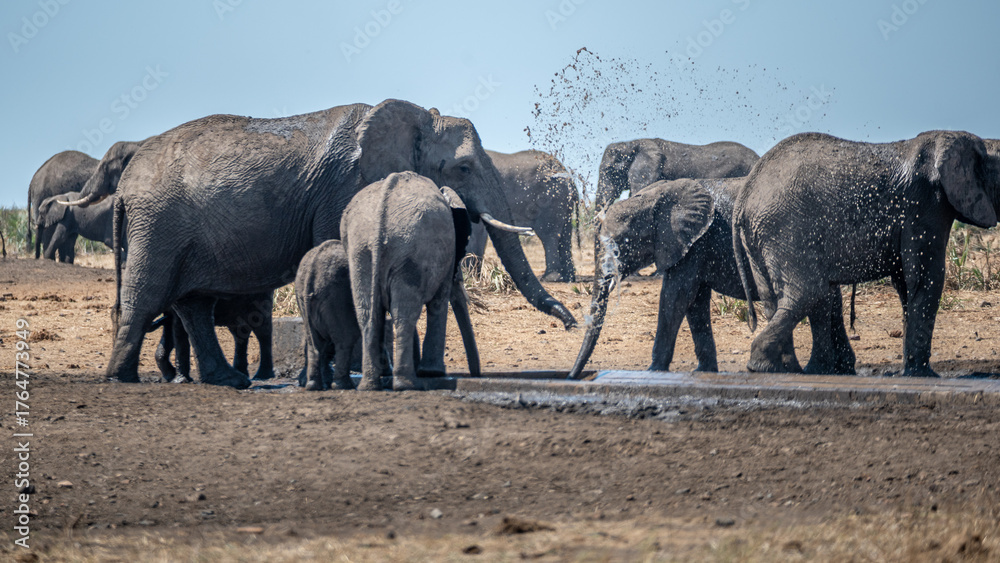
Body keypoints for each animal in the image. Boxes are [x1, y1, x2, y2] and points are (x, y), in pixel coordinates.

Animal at [341, 172, 481, 391]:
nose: (477, 374)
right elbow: (438, 303)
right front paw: (433, 373)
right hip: (410, 252)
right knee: (404, 314)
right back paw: (406, 384)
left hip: (361, 254)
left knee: (368, 314)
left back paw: (369, 386)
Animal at [465, 149, 579, 282]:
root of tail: (568, 177)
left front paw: (470, 277)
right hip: (563, 200)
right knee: (566, 234)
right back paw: (568, 277)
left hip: (551, 198)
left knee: (548, 234)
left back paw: (550, 278)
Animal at [567, 177, 822, 379]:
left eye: (621, 245)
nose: (572, 376)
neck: (656, 195)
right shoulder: (692, 244)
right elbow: (695, 301)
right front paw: (703, 372)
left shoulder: (696, 242)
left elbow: (676, 296)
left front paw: (654, 371)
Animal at [733, 131, 1000, 378]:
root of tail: (744, 196)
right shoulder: (926, 205)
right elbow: (926, 280)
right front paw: (924, 376)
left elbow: (905, 284)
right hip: (787, 228)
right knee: (809, 293)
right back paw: (769, 367)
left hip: (759, 237)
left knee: (776, 299)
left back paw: (788, 369)